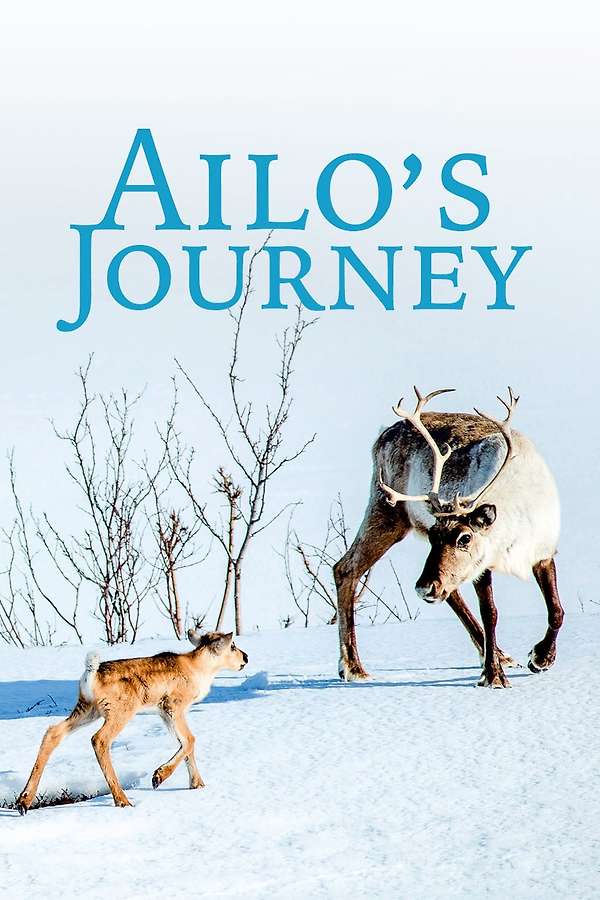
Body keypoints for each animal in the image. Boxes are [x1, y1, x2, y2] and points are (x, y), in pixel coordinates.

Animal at [16, 630, 248, 814]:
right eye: (232, 645)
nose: (246, 657)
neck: (199, 669)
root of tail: (91, 674)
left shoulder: (164, 713)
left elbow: (185, 743)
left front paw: (197, 784)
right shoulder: (173, 706)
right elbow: (190, 739)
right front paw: (158, 777)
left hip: (87, 709)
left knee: (53, 732)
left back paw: (23, 802)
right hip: (120, 711)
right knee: (99, 739)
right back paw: (122, 800)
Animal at [334, 387, 563, 688]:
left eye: (464, 538)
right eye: (433, 534)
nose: (423, 588)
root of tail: (381, 436)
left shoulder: (543, 552)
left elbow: (556, 610)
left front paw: (541, 659)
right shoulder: (481, 565)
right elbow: (491, 614)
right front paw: (493, 677)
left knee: (449, 591)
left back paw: (501, 655)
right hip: (387, 511)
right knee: (345, 568)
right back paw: (353, 667)